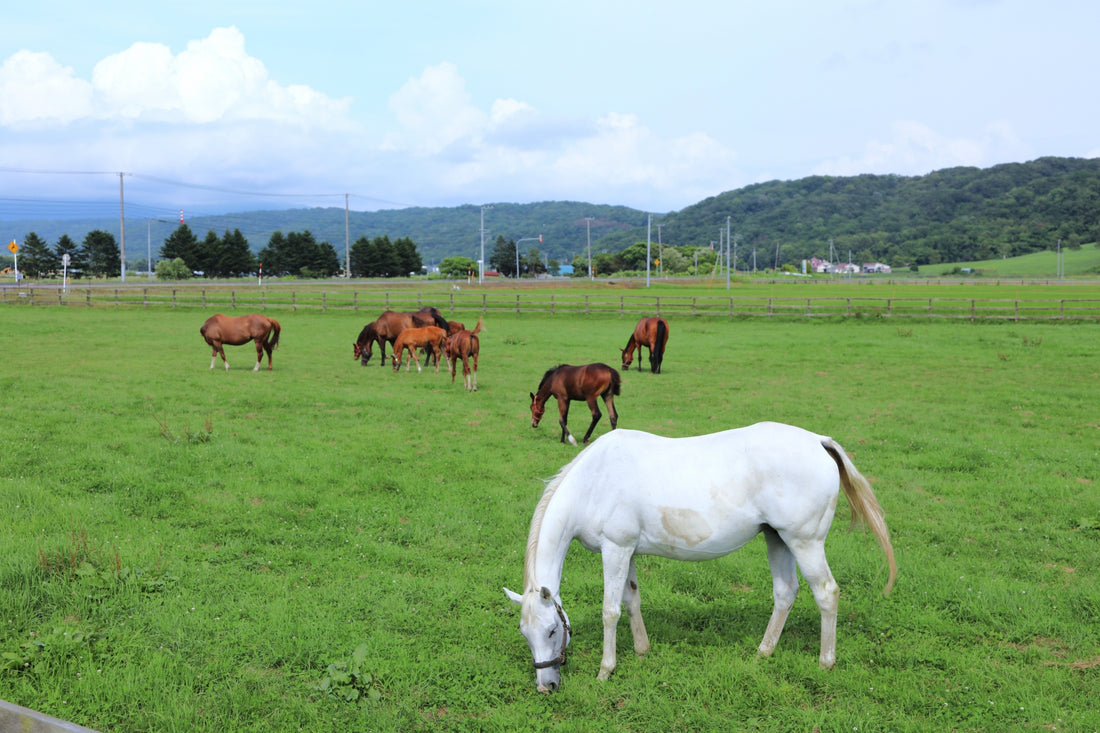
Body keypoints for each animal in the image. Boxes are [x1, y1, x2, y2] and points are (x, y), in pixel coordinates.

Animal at [503, 422, 893, 691]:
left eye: (553, 630)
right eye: (525, 633)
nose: (546, 686)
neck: (594, 481)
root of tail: (818, 441)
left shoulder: (615, 550)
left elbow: (610, 611)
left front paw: (605, 670)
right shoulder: (628, 551)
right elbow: (631, 600)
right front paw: (642, 651)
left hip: (805, 542)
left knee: (826, 593)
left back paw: (825, 663)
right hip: (778, 540)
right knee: (785, 593)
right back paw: (762, 653)